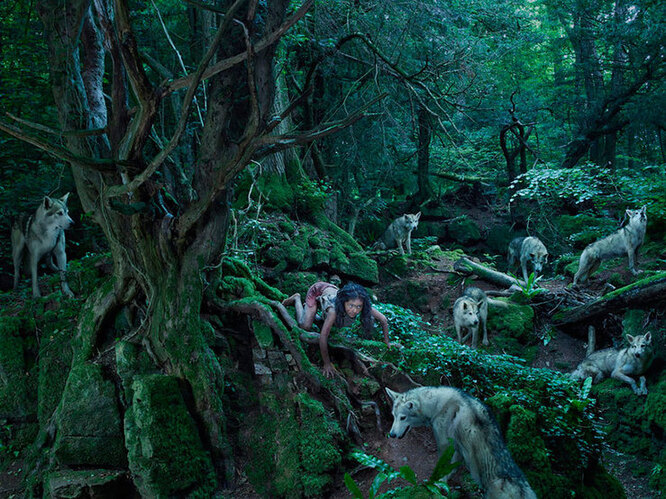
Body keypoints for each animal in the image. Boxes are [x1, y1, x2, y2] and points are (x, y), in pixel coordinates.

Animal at [384, 386, 536, 499]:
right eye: (394, 416)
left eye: (403, 417)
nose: (391, 434)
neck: (437, 406)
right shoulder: (457, 448)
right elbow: (452, 468)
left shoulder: (444, 445)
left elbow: (442, 468)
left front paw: (437, 482)